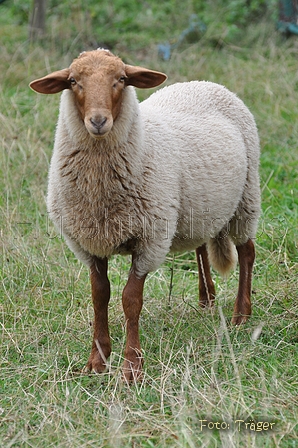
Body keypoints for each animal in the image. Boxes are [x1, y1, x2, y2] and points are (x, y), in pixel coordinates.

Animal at [29, 50, 260, 384]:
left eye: (122, 79)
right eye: (73, 81)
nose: (98, 121)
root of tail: (204, 82)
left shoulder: (149, 240)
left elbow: (130, 300)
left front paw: (131, 367)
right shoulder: (88, 243)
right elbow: (100, 296)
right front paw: (97, 361)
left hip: (246, 197)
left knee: (246, 252)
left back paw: (241, 315)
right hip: (197, 208)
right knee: (201, 247)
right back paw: (207, 299)